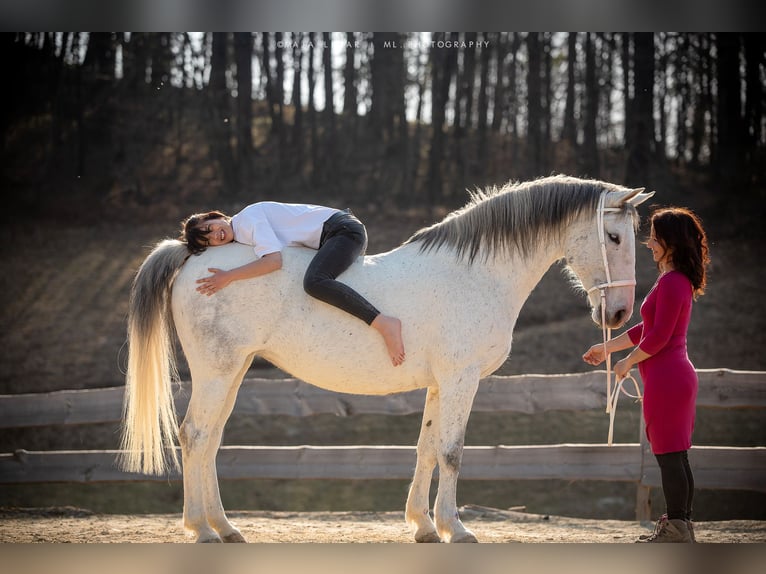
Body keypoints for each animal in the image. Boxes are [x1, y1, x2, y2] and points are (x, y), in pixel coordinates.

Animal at [120, 176, 656, 544]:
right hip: (217, 371)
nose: (620, 312)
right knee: (195, 436)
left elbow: (426, 449)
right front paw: (456, 528)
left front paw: (423, 525)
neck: (475, 272)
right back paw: (202, 530)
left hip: (233, 372)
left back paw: (225, 526)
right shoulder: (461, 380)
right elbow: (452, 452)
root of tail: (189, 258)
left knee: (209, 441)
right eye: (614, 237)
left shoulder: (440, 384)